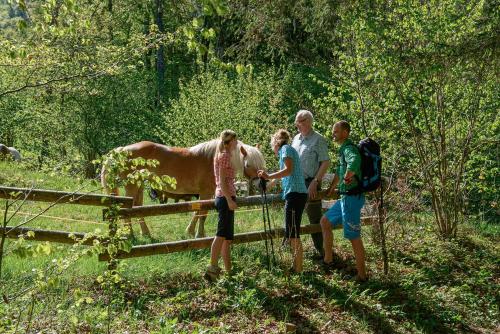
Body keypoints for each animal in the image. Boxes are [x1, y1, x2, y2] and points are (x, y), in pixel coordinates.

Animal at [100, 138, 266, 237]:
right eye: (248, 165)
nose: (260, 184)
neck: (215, 159)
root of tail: (122, 149)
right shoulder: (205, 192)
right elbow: (202, 213)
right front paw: (197, 234)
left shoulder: (207, 193)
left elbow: (200, 212)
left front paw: (195, 232)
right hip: (132, 186)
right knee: (128, 209)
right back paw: (130, 234)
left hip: (138, 185)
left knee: (137, 208)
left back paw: (144, 232)